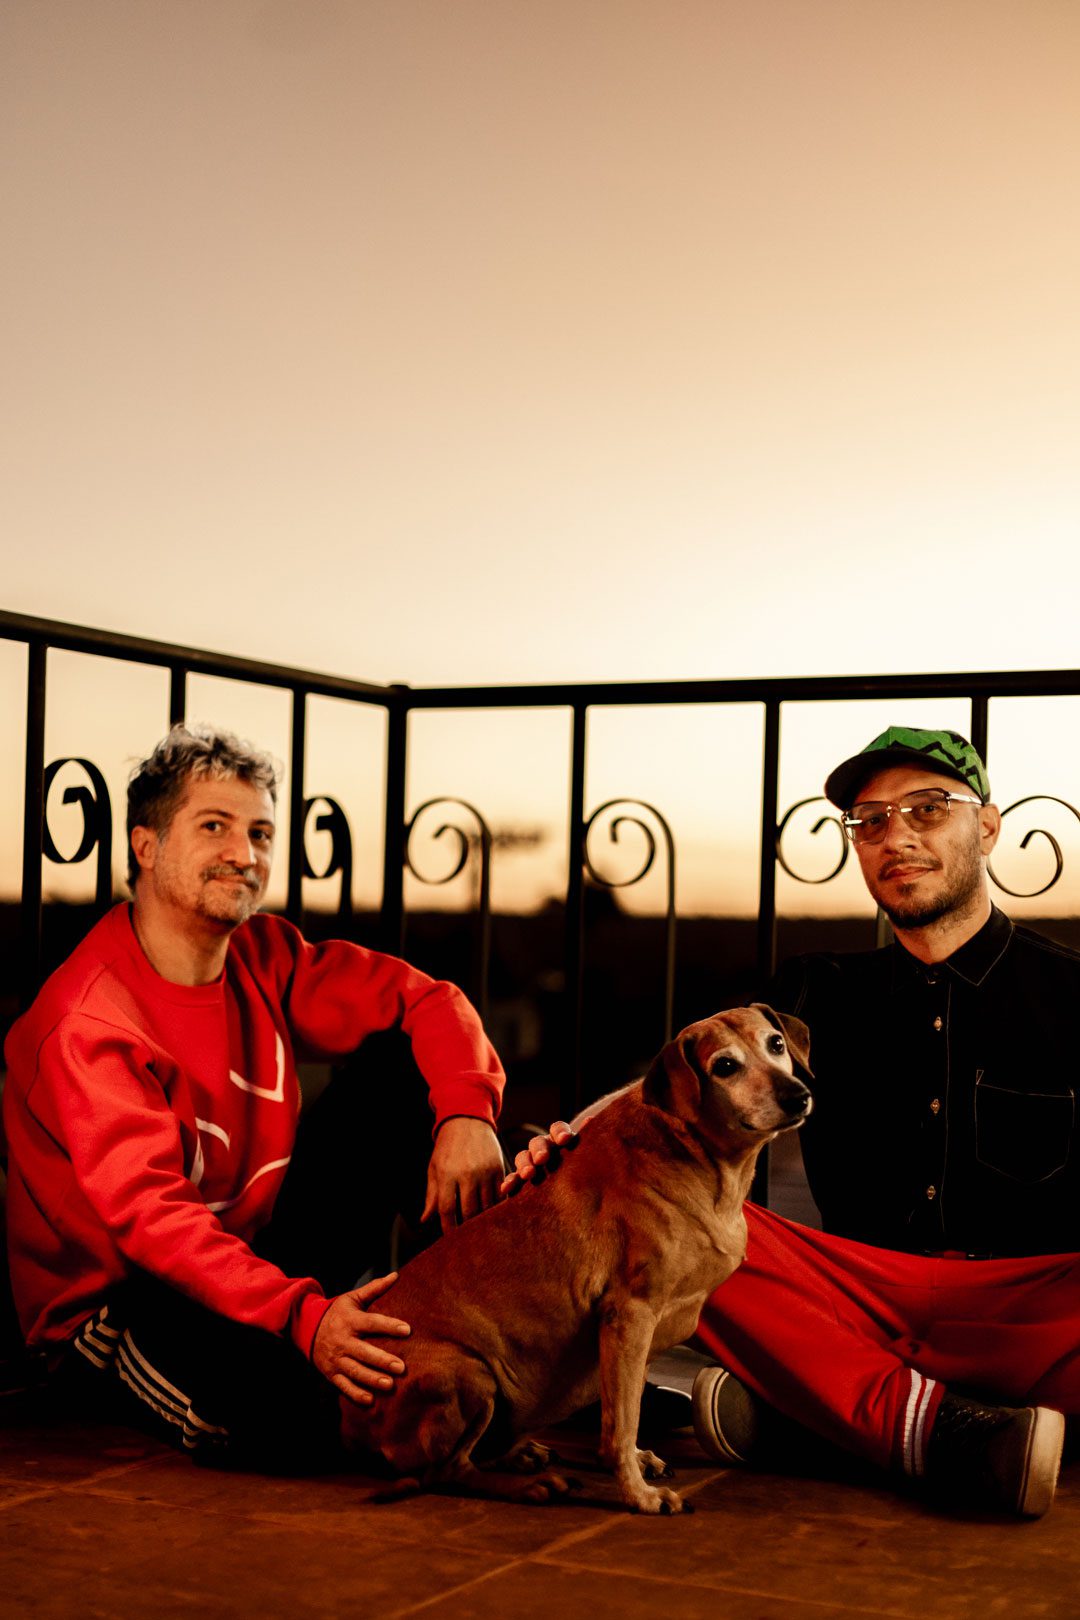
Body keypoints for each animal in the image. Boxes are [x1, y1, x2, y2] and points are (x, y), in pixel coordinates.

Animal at [342, 1004, 812, 1514]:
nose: (798, 1096)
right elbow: (620, 1423)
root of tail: (349, 1424)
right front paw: (638, 1495)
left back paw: (519, 1454)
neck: (695, 1154)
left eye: (776, 1044)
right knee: (448, 1470)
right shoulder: (630, 1315)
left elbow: (624, 1407)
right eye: (725, 1066)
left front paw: (636, 1460)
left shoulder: (636, 1336)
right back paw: (528, 1486)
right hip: (467, 1373)